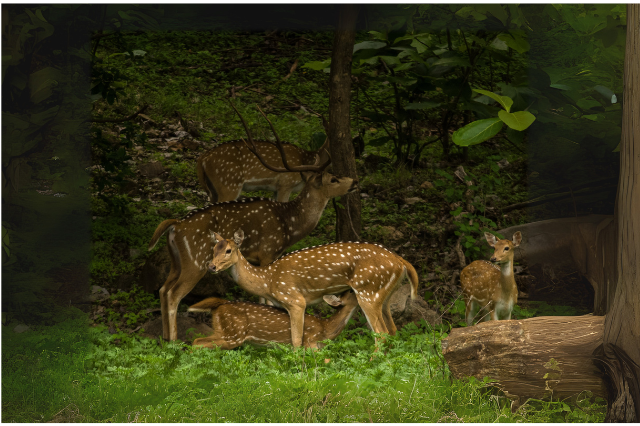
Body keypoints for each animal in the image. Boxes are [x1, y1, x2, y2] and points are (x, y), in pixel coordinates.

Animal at [148, 105, 358, 342]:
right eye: (333, 179)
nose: (354, 181)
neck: (290, 225)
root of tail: (175, 226)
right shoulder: (268, 251)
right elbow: (266, 297)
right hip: (196, 260)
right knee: (174, 294)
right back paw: (174, 340)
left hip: (177, 261)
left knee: (163, 289)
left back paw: (164, 337)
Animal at [188, 290, 359, 350]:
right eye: (352, 291)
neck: (325, 329)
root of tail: (220, 305)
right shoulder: (310, 341)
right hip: (233, 333)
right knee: (197, 342)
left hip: (223, 330)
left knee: (199, 341)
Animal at [207, 229, 420, 348]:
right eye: (213, 250)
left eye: (228, 250)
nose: (211, 266)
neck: (267, 281)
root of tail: (402, 263)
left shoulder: (294, 299)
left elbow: (296, 339)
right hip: (384, 295)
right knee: (393, 329)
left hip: (368, 291)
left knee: (381, 333)